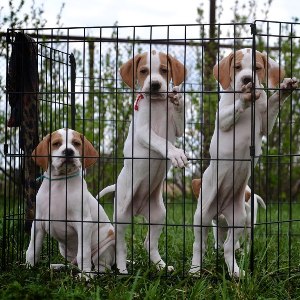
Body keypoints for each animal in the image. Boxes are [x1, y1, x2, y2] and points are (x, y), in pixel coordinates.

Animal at [25, 128, 115, 276]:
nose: (68, 151)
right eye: (56, 144)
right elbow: (32, 249)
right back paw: (58, 266)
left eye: (76, 143)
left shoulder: (84, 222)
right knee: (73, 263)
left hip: (105, 247)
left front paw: (85, 276)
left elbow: (83, 254)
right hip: (63, 249)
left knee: (101, 266)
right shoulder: (38, 223)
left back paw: (93, 273)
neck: (60, 183)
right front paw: (27, 268)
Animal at [98, 50, 188, 274]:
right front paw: (175, 153)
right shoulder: (143, 132)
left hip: (158, 215)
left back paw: (161, 266)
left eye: (164, 70)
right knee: (121, 245)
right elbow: (161, 141)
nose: (155, 84)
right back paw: (122, 269)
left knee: (149, 243)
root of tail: (138, 210)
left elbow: (179, 121)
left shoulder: (177, 129)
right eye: (143, 71)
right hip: (121, 216)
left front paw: (179, 100)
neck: (157, 104)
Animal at [190, 48, 298, 278]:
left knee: (229, 247)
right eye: (237, 67)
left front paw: (284, 89)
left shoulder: (265, 123)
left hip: (239, 220)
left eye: (257, 68)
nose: (247, 79)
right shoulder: (223, 119)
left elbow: (273, 104)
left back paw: (235, 272)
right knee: (199, 245)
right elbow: (232, 111)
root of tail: (220, 209)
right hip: (202, 216)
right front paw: (245, 98)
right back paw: (194, 270)